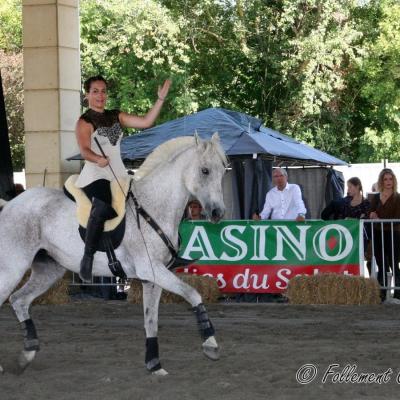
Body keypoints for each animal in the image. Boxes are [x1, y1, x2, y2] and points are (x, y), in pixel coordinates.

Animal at [0, 134, 227, 376]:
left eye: (223, 171)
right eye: (205, 170)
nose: (218, 213)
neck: (153, 206)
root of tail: (9, 205)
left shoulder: (152, 278)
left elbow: (151, 320)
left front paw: (154, 364)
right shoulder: (152, 269)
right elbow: (193, 294)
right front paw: (211, 345)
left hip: (48, 270)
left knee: (19, 300)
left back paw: (26, 355)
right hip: (13, 268)